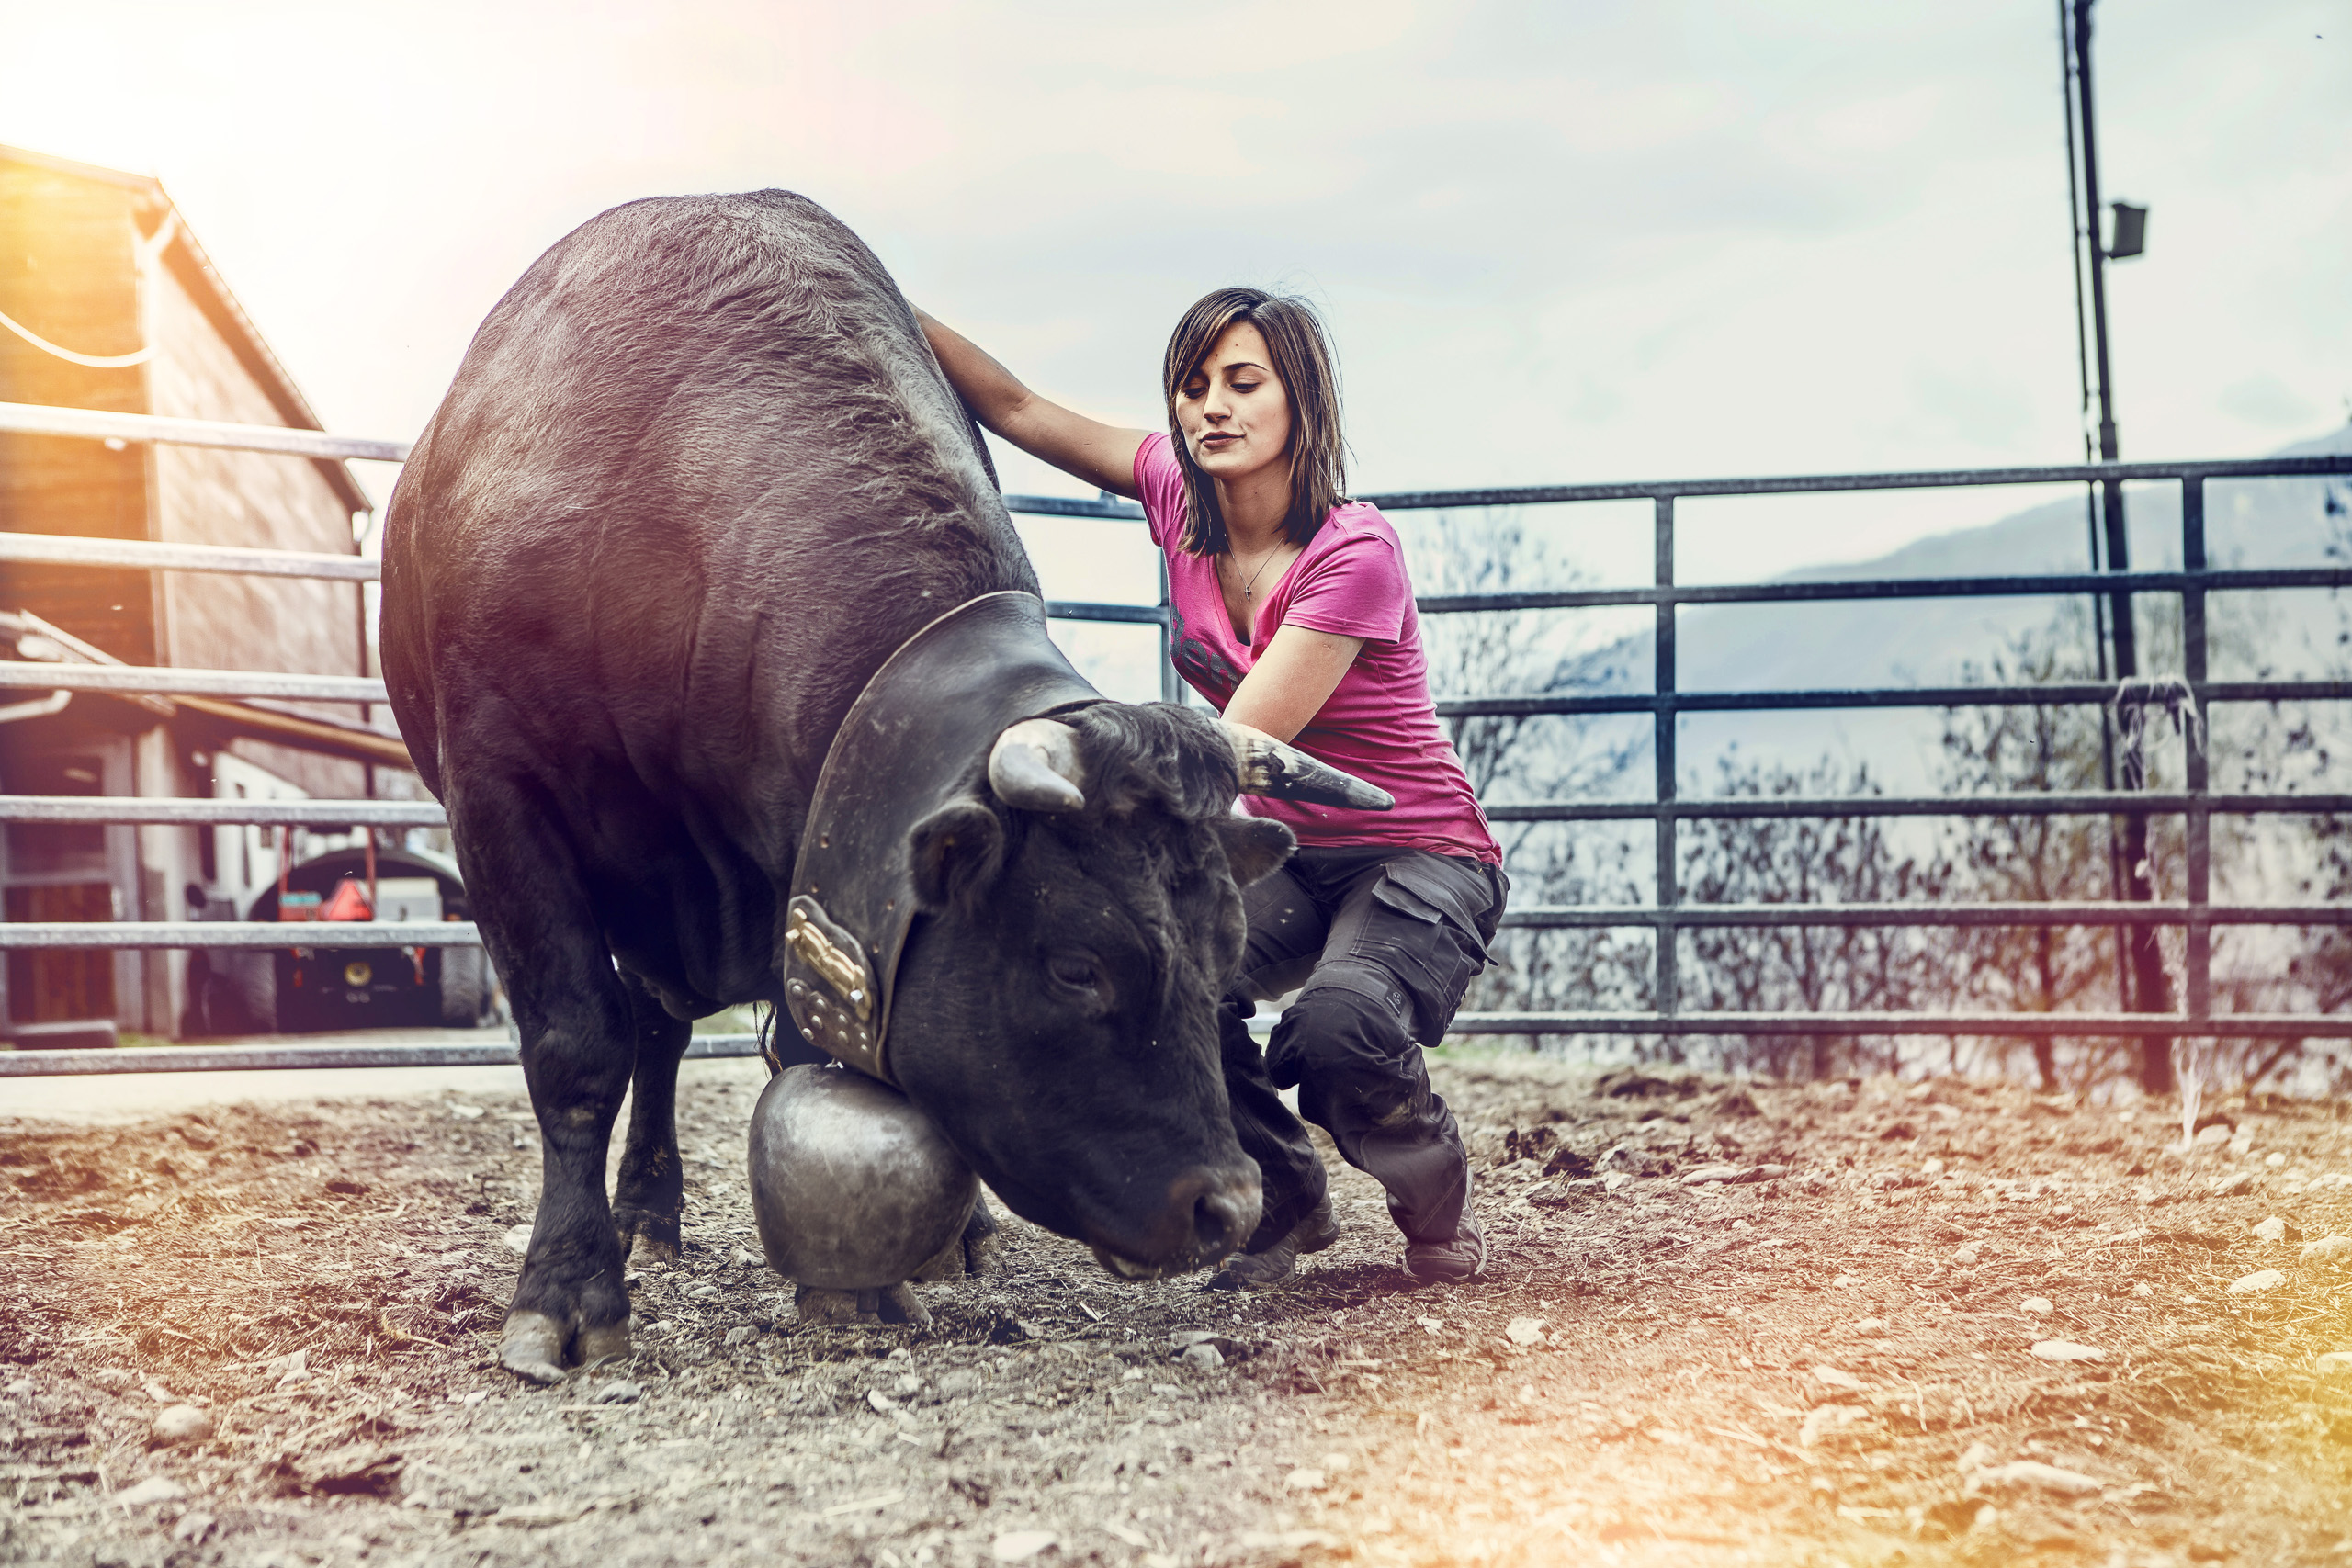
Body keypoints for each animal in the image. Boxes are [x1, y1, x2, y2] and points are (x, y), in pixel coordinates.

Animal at [379, 190, 1385, 1382]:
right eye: (1075, 965)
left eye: (1227, 954)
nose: (1226, 1206)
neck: (661, 507)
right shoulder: (500, 801)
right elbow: (577, 1047)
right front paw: (568, 1291)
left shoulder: (819, 848)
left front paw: (867, 1281)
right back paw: (643, 1218)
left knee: (666, 1025)